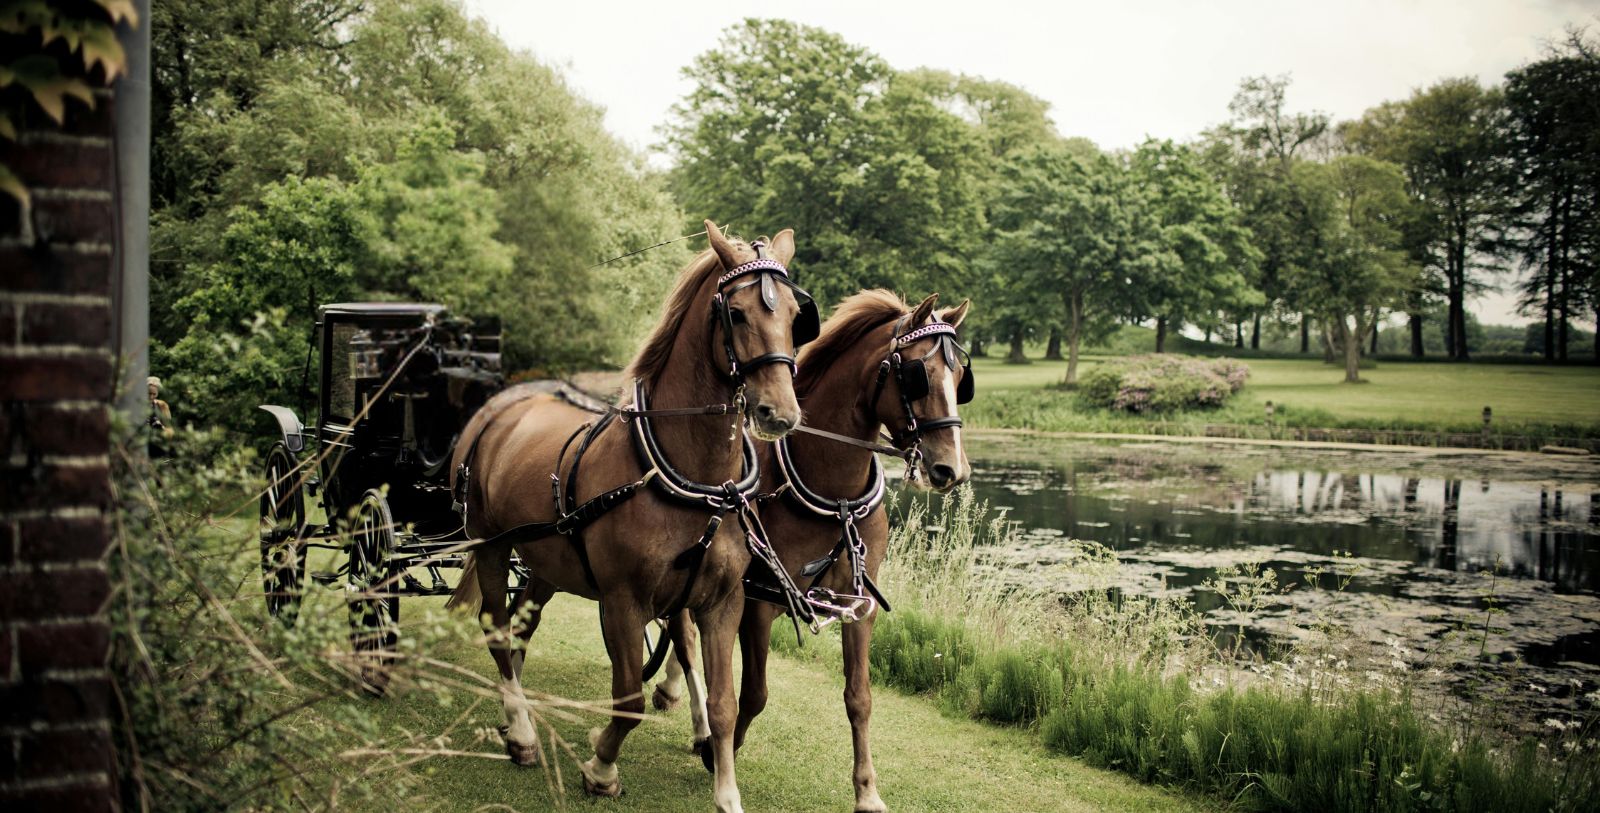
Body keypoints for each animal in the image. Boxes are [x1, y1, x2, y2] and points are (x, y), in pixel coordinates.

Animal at [444, 222, 806, 813]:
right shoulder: (623, 600)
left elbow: (724, 703)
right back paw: (520, 728)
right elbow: (629, 696)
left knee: (521, 626)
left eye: (796, 315)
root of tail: (503, 407)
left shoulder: (721, 602)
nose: (780, 413)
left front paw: (726, 791)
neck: (696, 480)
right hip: (492, 543)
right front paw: (600, 764)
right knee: (497, 627)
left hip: (546, 561)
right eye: (735, 313)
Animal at [652, 292, 972, 813]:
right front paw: (721, 752)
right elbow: (754, 693)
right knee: (685, 638)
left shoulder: (859, 607)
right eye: (916, 374)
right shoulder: (759, 602)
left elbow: (859, 697)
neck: (833, 493)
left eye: (961, 377)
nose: (953, 469)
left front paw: (867, 791)